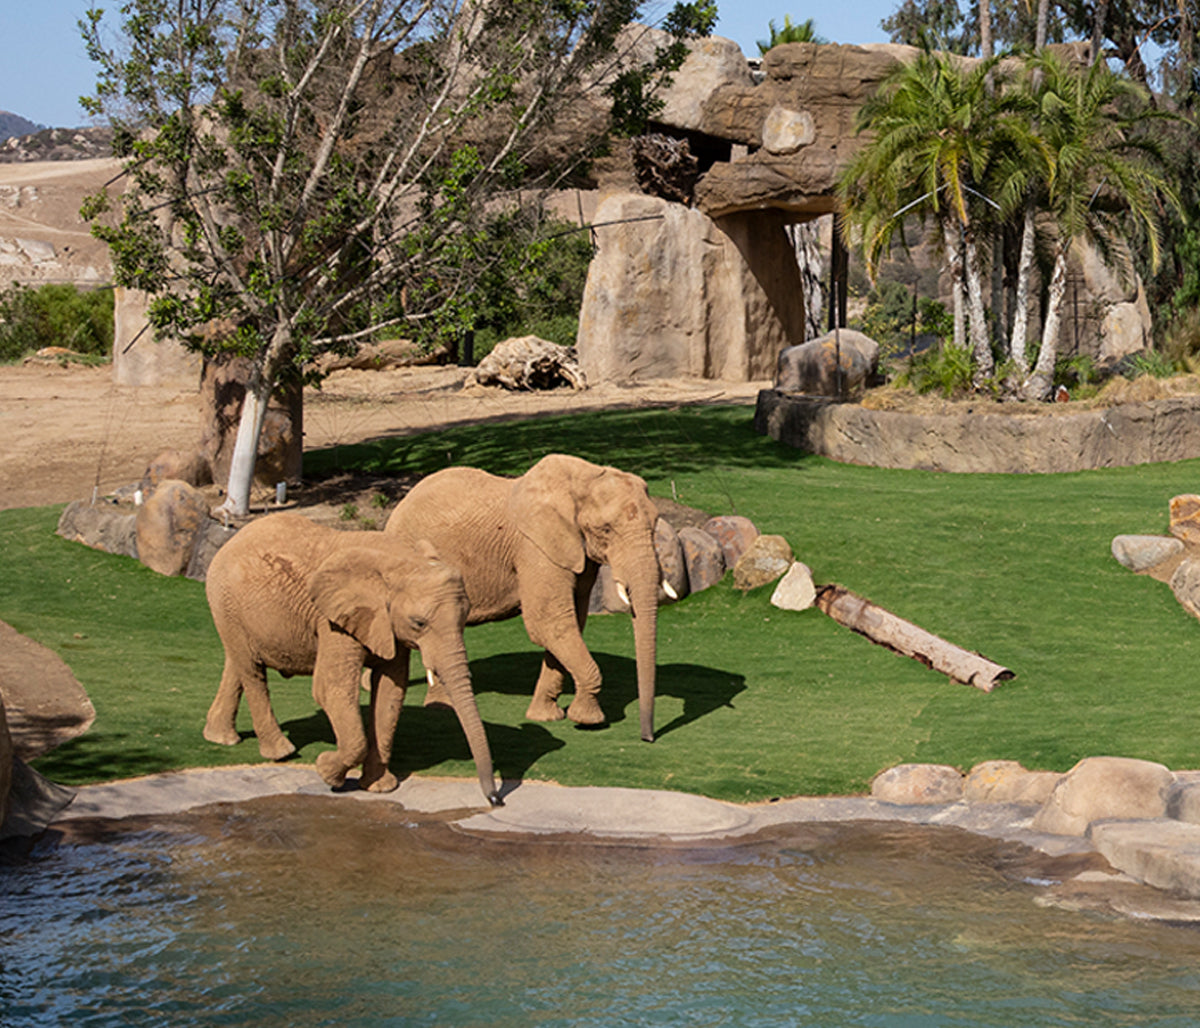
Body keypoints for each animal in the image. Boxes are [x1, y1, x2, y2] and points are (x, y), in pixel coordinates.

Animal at [203, 512, 501, 806]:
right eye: (419, 623)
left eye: (465, 617)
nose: (495, 799)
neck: (401, 559)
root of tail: (231, 540)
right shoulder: (334, 620)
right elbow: (330, 689)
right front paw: (326, 771)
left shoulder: (386, 622)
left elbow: (391, 691)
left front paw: (380, 788)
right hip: (225, 600)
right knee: (252, 671)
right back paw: (281, 752)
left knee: (238, 665)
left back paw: (221, 738)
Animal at [384, 453, 673, 742]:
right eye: (605, 530)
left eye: (654, 525)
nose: (647, 737)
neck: (584, 476)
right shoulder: (535, 548)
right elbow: (549, 622)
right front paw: (587, 720)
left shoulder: (575, 553)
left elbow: (571, 622)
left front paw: (545, 716)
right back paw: (441, 708)